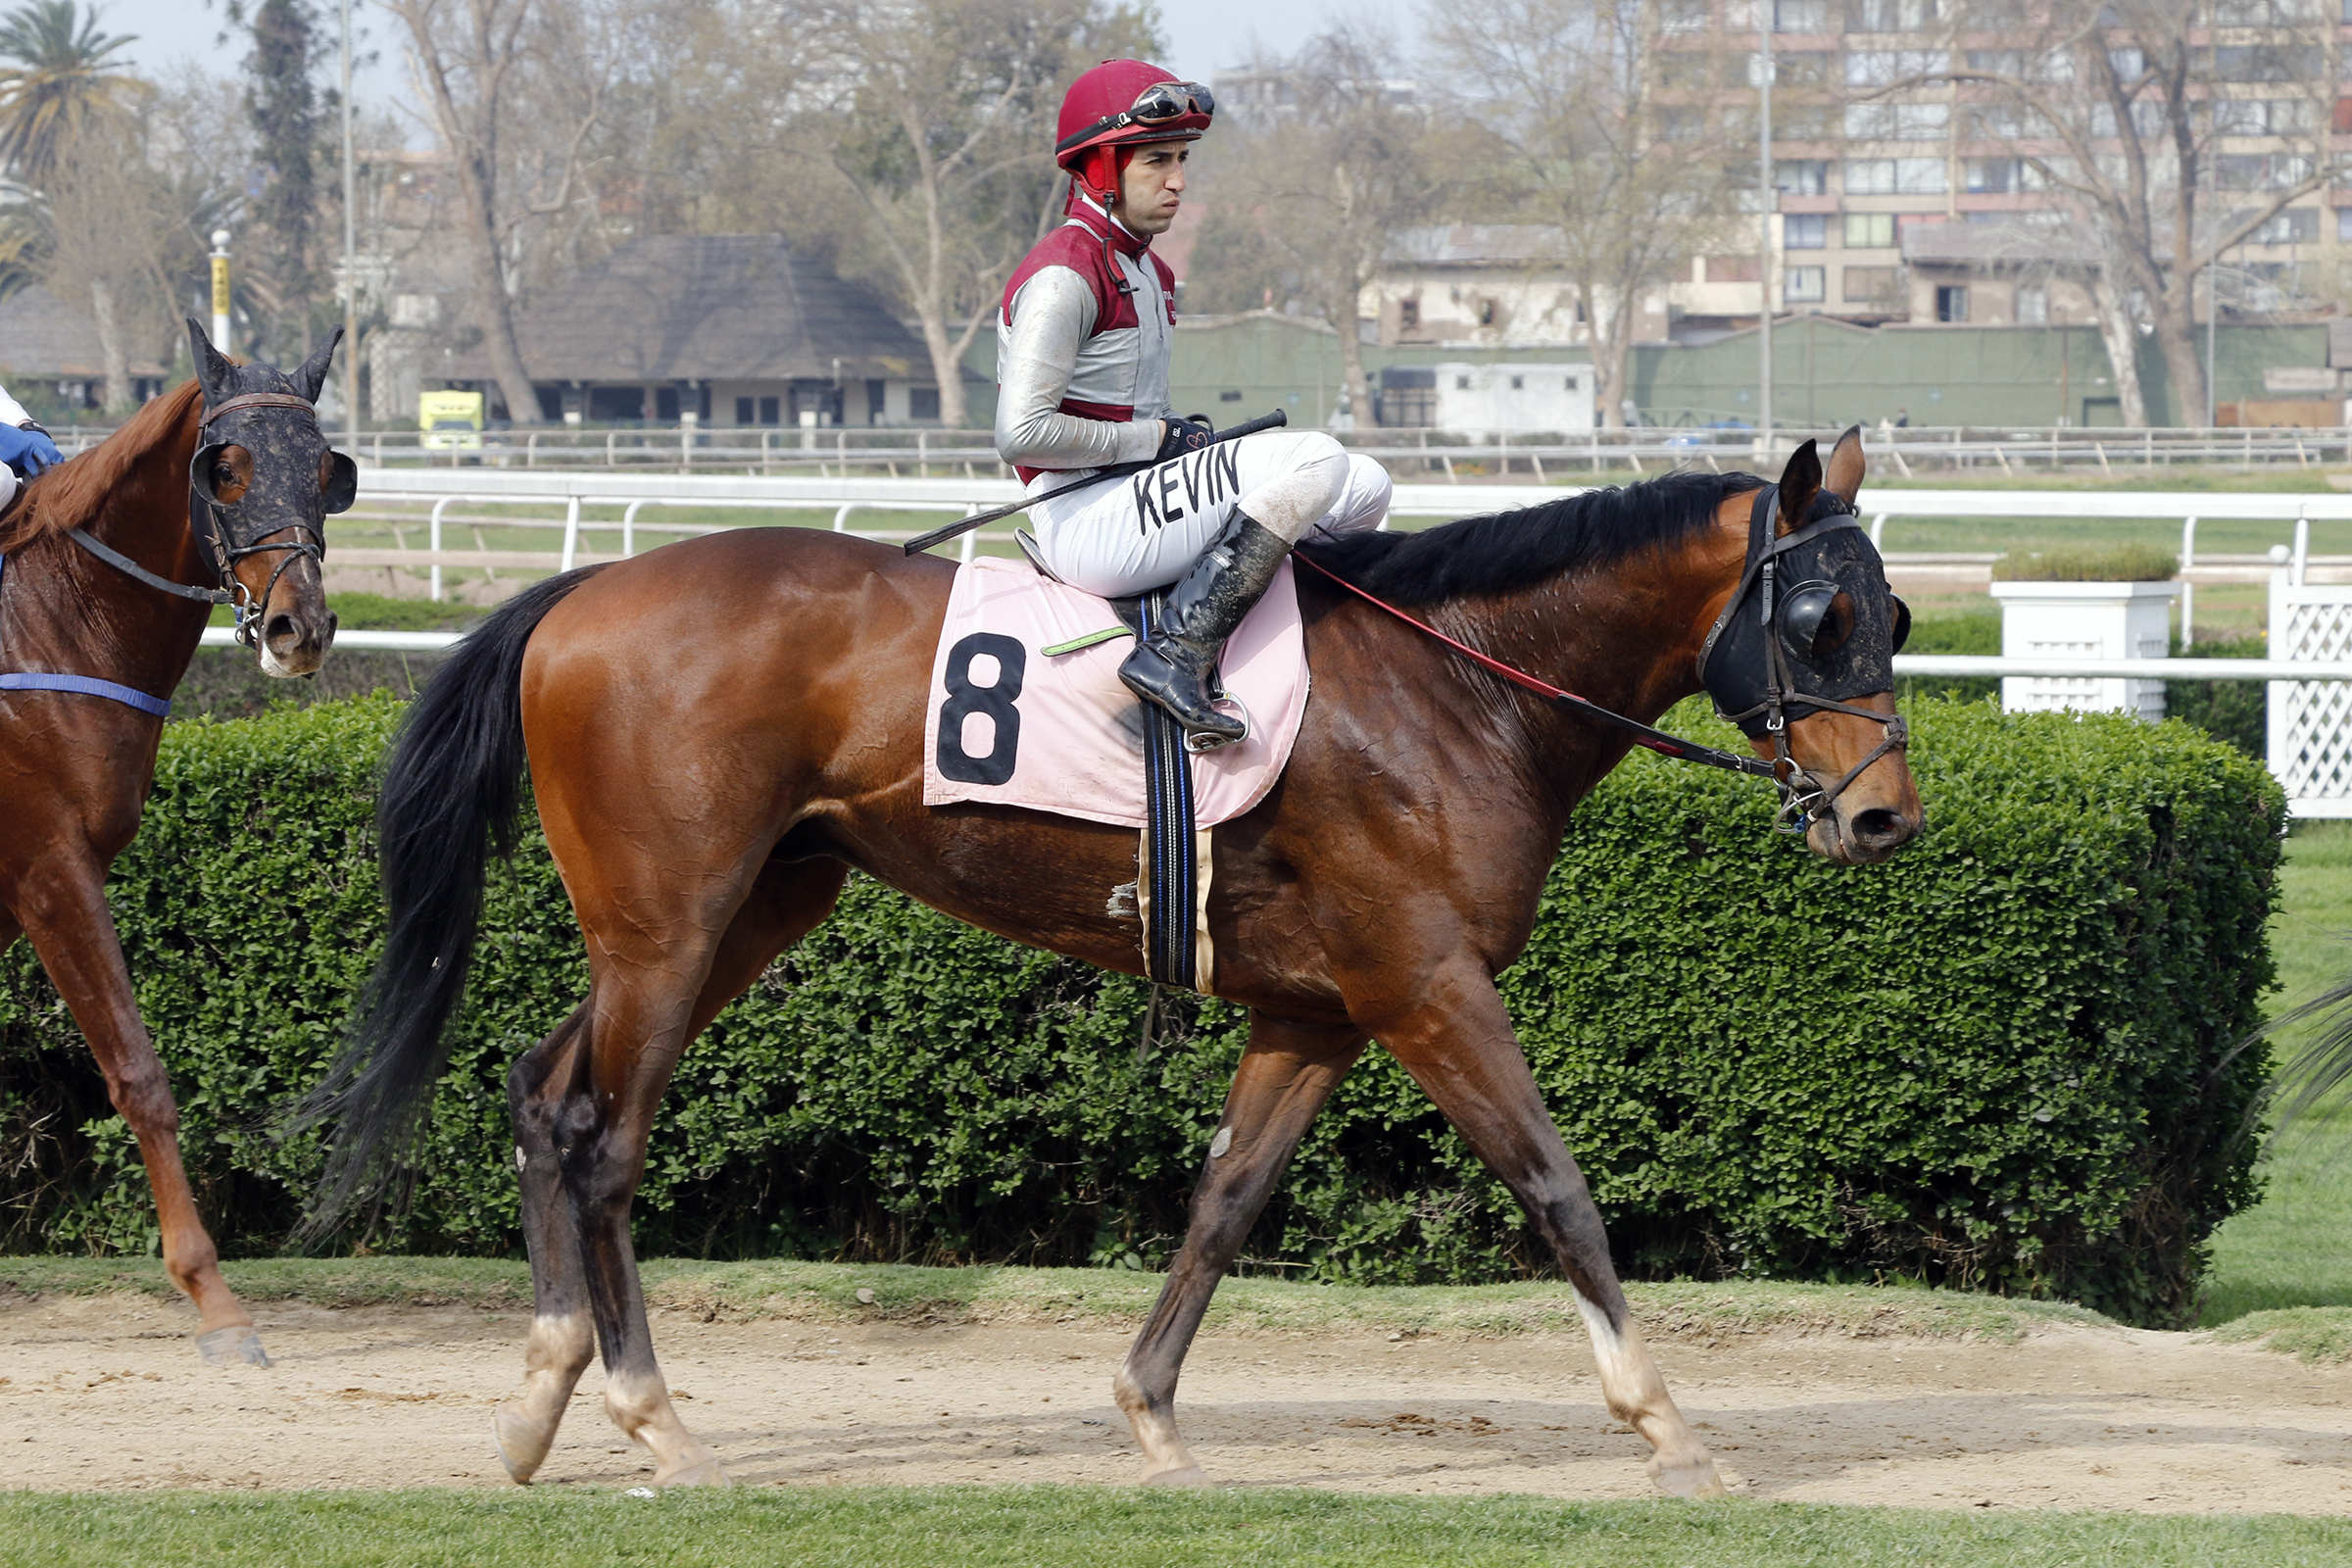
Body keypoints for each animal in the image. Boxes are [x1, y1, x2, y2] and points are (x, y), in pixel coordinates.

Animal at [0, 321, 349, 1366]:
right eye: (225, 469)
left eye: (328, 469)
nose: (300, 627)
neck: (41, 630)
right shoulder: (50, 869)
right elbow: (140, 1073)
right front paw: (216, 1300)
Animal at [308, 426, 1920, 1493]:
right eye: (1817, 615)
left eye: (1894, 613)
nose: (1885, 815)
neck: (1454, 684)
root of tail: (575, 596)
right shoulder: (1427, 987)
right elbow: (1557, 1187)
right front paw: (1669, 1424)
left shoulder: (1317, 1011)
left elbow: (1224, 1202)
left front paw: (1149, 1408)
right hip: (672, 922)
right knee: (603, 1133)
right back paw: (651, 1416)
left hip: (748, 910)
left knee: (540, 1090)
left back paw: (541, 1394)